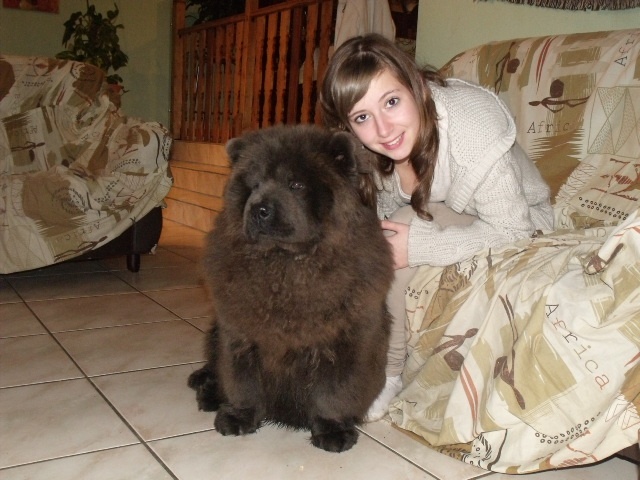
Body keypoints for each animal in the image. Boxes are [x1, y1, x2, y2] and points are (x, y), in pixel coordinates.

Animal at [188, 125, 394, 452]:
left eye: (296, 184)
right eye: (255, 184)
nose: (259, 208)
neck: (285, 267)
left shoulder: (345, 342)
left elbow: (334, 392)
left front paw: (332, 431)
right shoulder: (240, 335)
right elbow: (242, 382)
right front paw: (238, 417)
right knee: (213, 366)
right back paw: (207, 392)